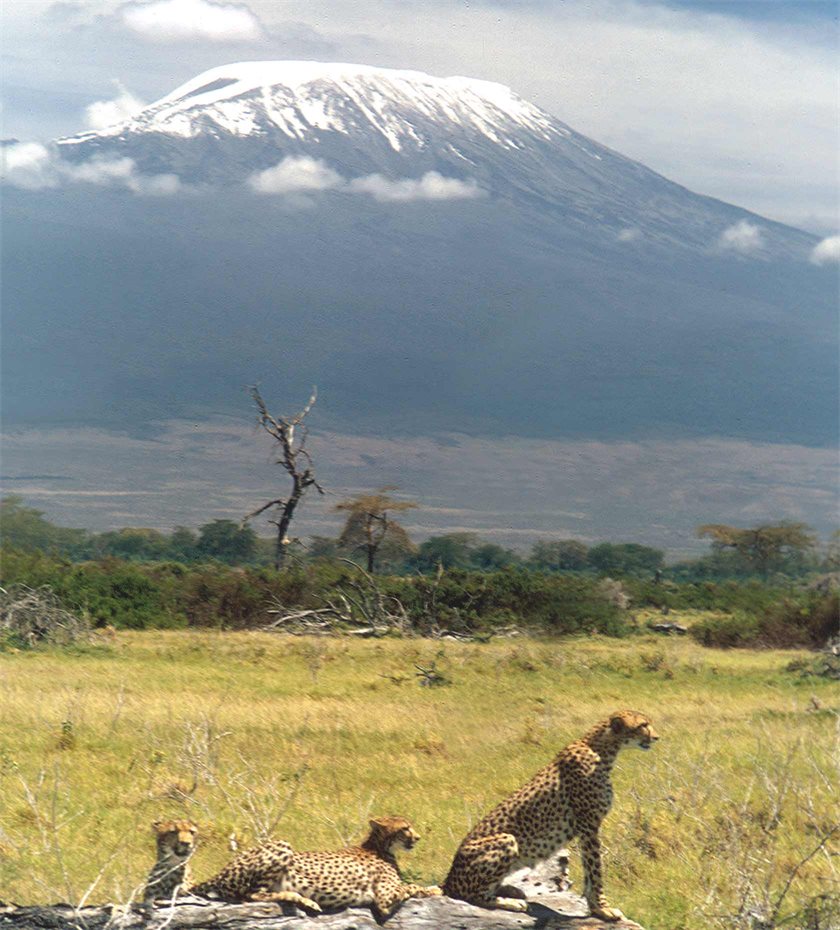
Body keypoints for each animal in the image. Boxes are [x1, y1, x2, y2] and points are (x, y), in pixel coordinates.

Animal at [188, 808, 442, 916]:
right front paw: (435, 889)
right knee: (252, 895)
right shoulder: (384, 901)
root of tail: (220, 872)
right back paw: (305, 900)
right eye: (405, 828)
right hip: (283, 845)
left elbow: (410, 886)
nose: (418, 837)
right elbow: (411, 887)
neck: (378, 846)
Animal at [442, 708, 660, 916]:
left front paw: (595, 907)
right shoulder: (589, 825)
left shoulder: (586, 828)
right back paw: (510, 902)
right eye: (643, 725)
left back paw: (511, 891)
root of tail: (448, 879)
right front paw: (602, 908)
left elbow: (589, 870)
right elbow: (595, 869)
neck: (600, 749)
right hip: (506, 839)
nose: (657, 737)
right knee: (470, 894)